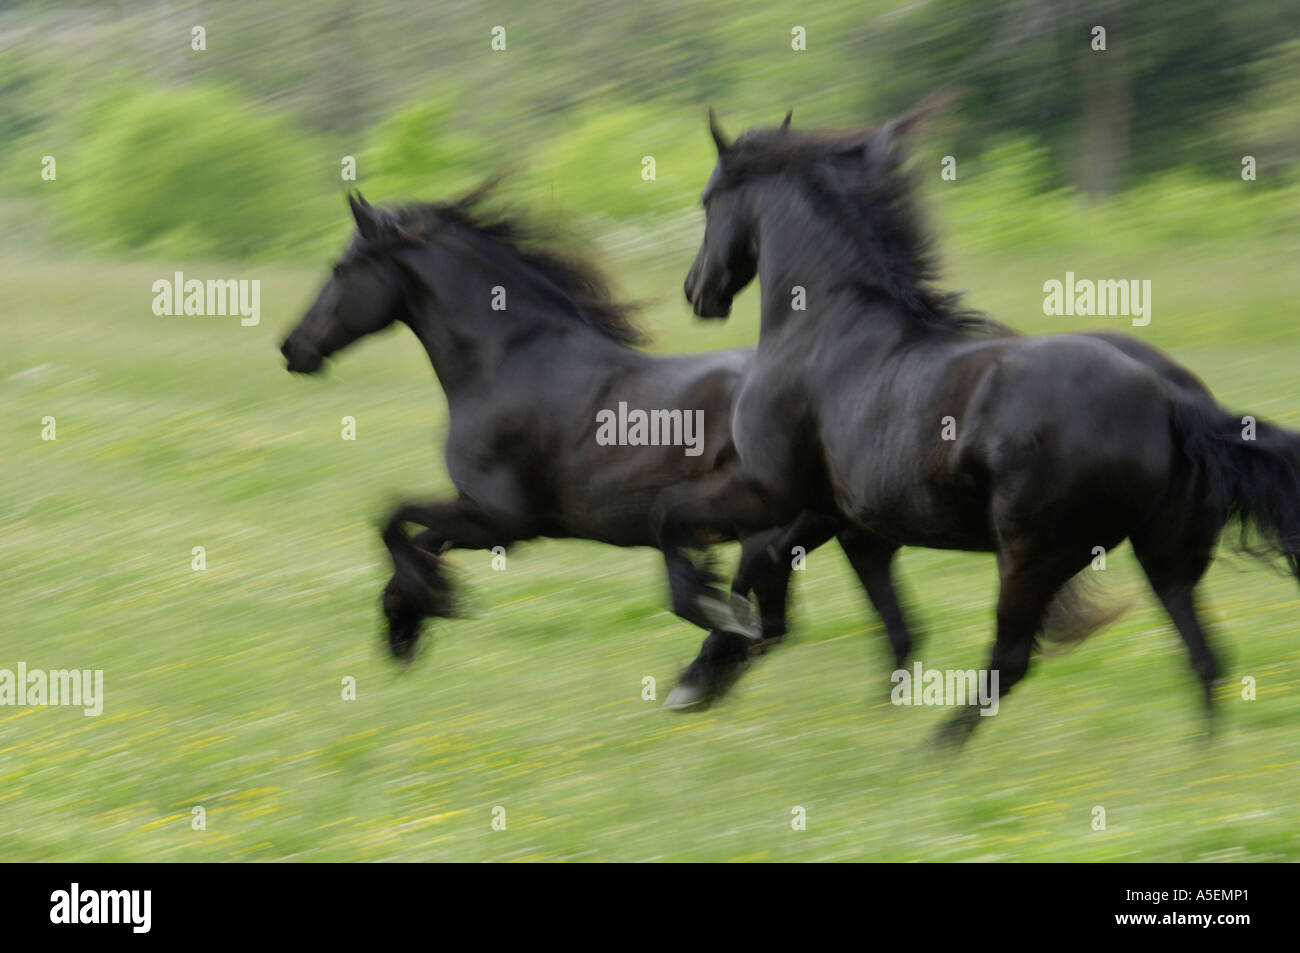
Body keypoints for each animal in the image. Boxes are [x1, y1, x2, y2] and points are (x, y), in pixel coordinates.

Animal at [278, 187, 927, 706]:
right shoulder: (484, 519)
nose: (292, 349)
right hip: (845, 534)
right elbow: (415, 543)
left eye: (341, 268)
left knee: (774, 624)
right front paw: (407, 621)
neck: (505, 361)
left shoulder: (500, 520)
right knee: (886, 629)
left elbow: (391, 519)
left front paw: (430, 609)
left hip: (770, 534)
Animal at [656, 106, 1300, 744]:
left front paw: (702, 660)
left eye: (708, 200)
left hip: (1032, 553)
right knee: (1205, 658)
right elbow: (884, 624)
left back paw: (931, 753)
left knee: (1011, 659)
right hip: (1165, 555)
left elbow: (716, 557)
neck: (825, 329)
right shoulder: (845, 521)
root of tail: (1170, 397)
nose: (695, 291)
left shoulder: (779, 496)